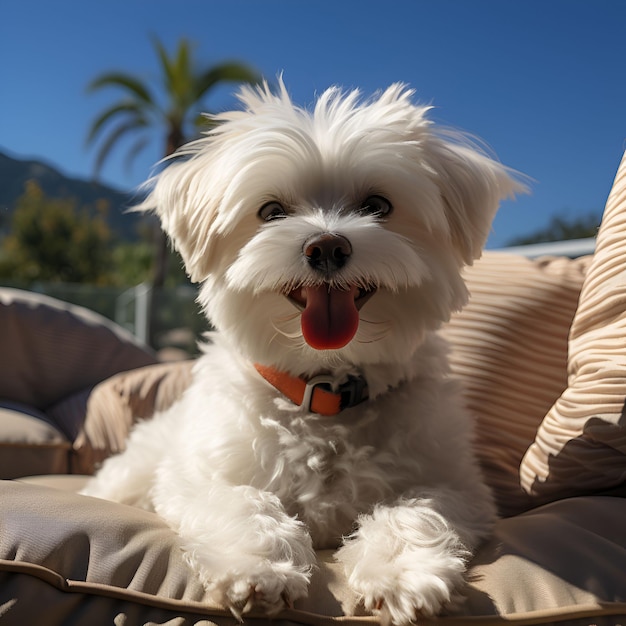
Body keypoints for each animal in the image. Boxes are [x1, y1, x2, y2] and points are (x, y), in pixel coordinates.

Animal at [81, 80, 520, 620]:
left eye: (378, 205)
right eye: (271, 212)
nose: (327, 246)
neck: (325, 390)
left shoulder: (456, 483)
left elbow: (416, 511)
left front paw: (402, 574)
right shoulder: (198, 473)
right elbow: (242, 500)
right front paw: (256, 568)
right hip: (137, 466)